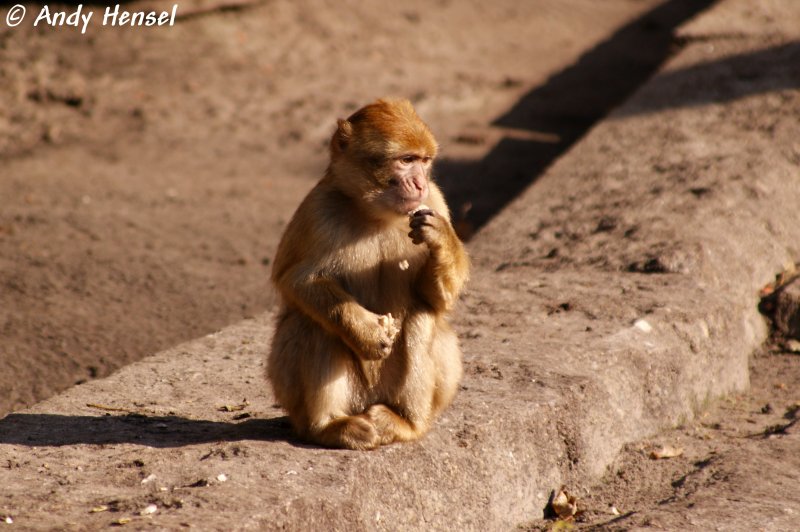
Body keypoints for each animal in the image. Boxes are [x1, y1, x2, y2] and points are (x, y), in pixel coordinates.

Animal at [268, 100, 468, 448]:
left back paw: (405, 423)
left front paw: (440, 239)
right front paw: (366, 332)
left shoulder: (435, 201)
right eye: (406, 160)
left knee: (420, 317)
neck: (377, 214)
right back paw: (329, 427)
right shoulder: (318, 210)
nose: (419, 183)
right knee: (314, 324)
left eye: (424, 161)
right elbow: (298, 282)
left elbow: (435, 299)